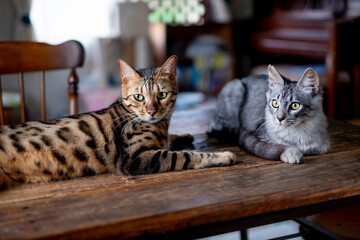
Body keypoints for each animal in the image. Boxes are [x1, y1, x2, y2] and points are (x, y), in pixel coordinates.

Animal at [0, 56, 238, 189]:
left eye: (161, 95)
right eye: (139, 97)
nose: (152, 111)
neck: (162, 124)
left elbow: (172, 142)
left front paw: (183, 136)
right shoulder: (133, 159)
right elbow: (184, 156)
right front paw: (222, 156)